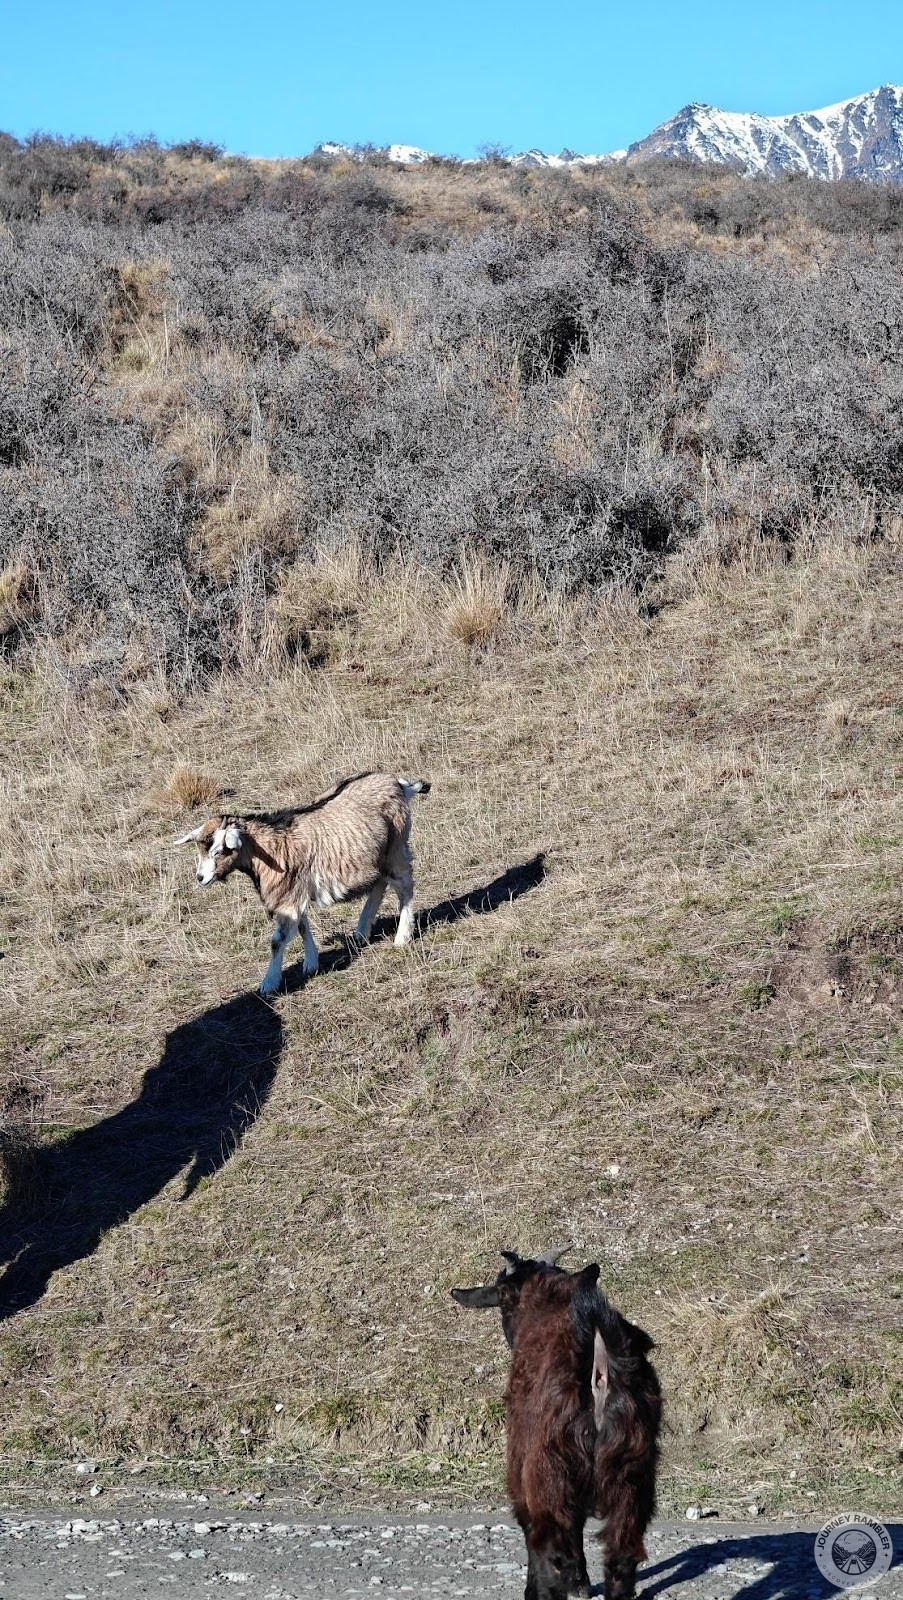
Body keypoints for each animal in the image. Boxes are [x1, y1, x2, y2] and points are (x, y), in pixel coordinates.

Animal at [175, 771, 430, 995]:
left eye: (219, 851)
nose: (201, 878)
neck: (269, 846)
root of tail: (399, 784)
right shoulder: (295, 891)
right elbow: (302, 926)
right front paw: (311, 963)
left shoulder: (287, 896)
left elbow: (277, 941)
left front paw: (269, 983)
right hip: (378, 854)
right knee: (380, 882)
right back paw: (362, 930)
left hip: (396, 845)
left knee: (404, 885)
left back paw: (402, 936)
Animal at [452, 1250, 660, 1600]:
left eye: (504, 1299)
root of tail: (600, 1364)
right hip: (633, 1471)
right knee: (621, 1553)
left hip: (550, 1469)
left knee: (550, 1542)